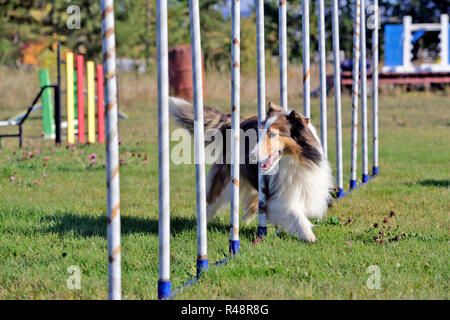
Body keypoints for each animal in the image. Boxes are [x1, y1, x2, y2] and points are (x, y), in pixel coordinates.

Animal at [169, 97, 334, 242]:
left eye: (273, 134)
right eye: (260, 133)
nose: (252, 156)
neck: (293, 160)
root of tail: (235, 120)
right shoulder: (278, 195)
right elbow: (294, 212)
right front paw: (308, 235)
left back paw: (249, 214)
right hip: (225, 180)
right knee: (212, 202)